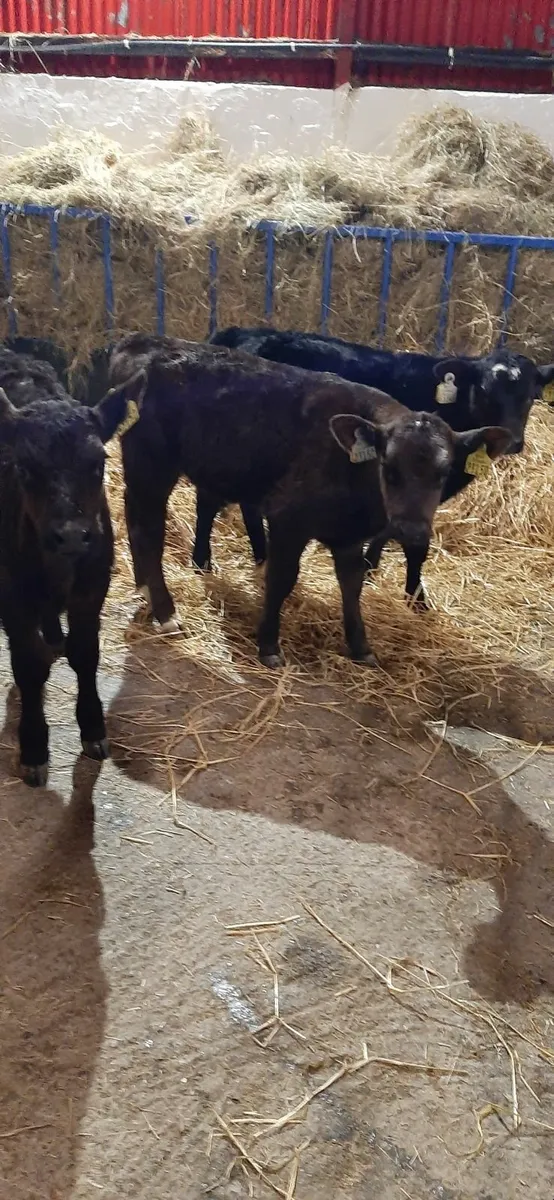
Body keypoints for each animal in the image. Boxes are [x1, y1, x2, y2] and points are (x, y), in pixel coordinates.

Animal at [0, 366, 141, 787]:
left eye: (99, 462)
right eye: (24, 467)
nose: (73, 534)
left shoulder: (92, 589)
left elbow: (85, 653)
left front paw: (93, 729)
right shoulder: (13, 597)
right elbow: (29, 666)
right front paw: (33, 746)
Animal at [109, 337, 511, 667]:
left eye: (443, 473)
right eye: (389, 467)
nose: (411, 531)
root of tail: (143, 343)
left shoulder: (349, 536)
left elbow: (351, 586)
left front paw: (361, 647)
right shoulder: (287, 520)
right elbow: (282, 578)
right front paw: (269, 645)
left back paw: (144, 590)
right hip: (151, 463)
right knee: (147, 530)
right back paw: (165, 612)